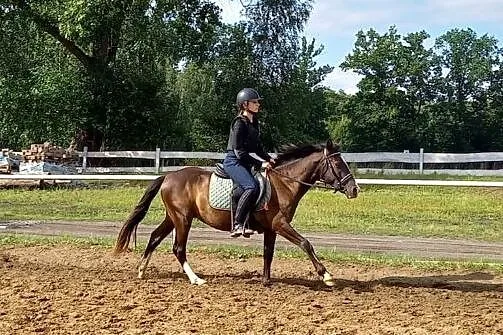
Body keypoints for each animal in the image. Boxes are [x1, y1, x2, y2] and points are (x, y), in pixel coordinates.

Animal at [114, 139, 358, 286]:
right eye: (337, 163)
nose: (354, 189)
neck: (283, 183)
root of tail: (168, 176)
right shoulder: (280, 224)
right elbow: (306, 243)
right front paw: (326, 275)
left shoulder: (272, 229)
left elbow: (268, 253)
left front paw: (266, 281)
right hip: (182, 219)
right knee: (178, 248)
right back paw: (196, 279)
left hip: (173, 217)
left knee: (155, 238)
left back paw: (141, 270)